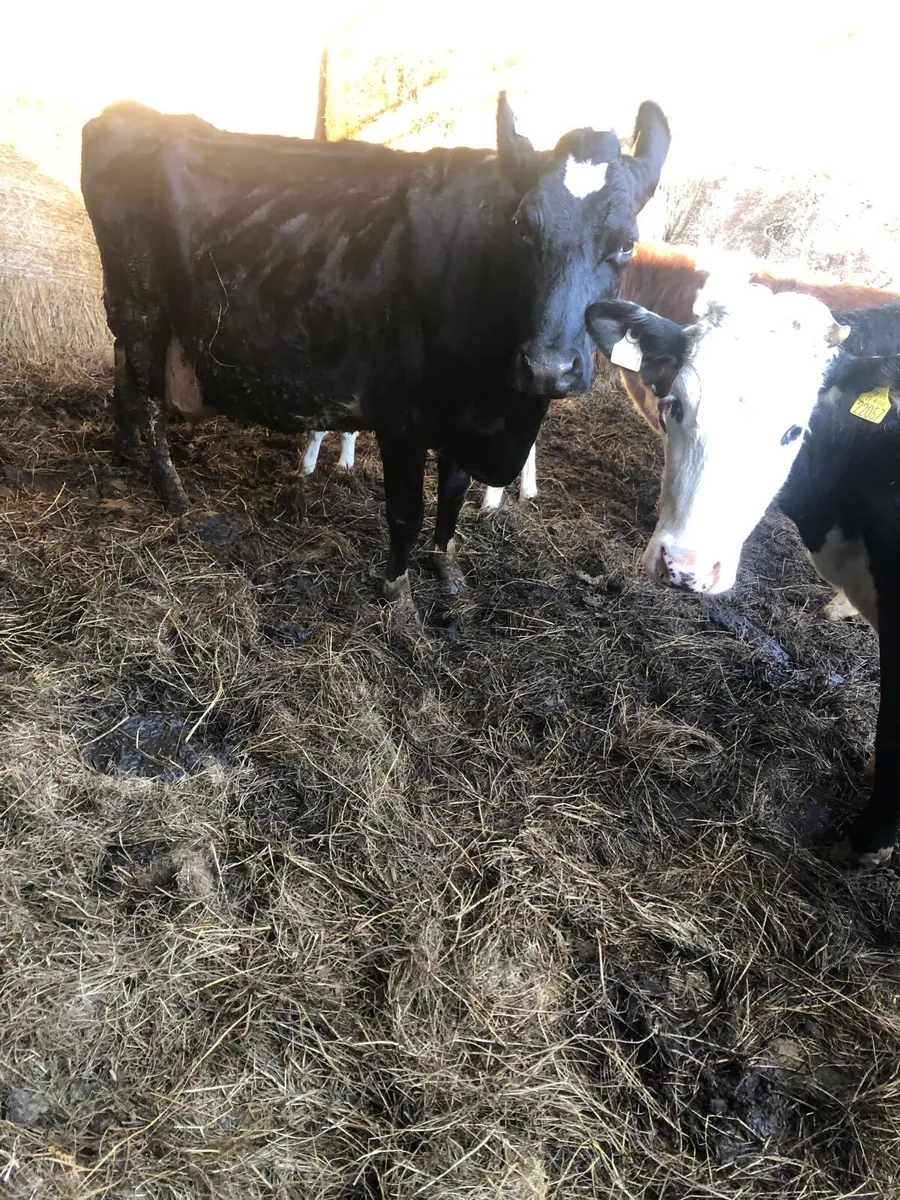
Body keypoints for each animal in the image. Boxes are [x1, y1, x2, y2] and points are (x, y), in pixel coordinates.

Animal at [81, 95, 670, 611]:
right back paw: (172, 491)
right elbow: (406, 512)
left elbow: (452, 496)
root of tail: (126, 112)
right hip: (141, 300)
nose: (548, 369)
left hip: (130, 307)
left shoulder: (461, 421)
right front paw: (399, 596)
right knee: (148, 395)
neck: (497, 411)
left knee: (124, 372)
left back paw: (125, 452)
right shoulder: (402, 419)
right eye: (523, 228)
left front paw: (447, 568)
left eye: (627, 243)